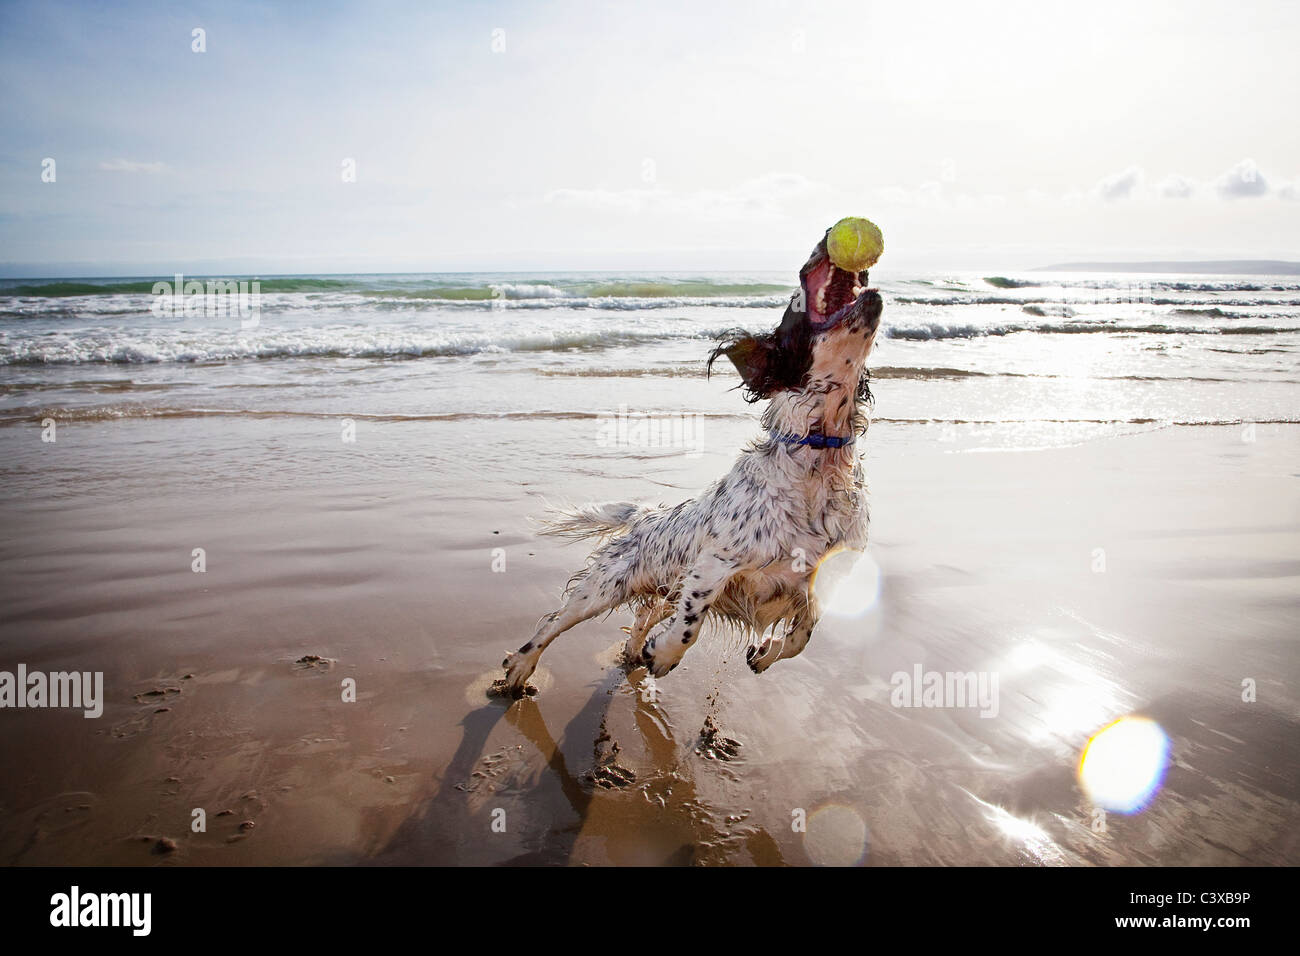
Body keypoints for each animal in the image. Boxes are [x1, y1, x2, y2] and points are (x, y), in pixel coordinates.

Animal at [496, 227, 883, 697]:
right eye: (795, 301)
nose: (828, 233)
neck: (818, 464)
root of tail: (645, 515)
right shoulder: (713, 566)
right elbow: (689, 626)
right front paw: (664, 654)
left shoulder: (821, 578)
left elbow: (801, 638)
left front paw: (762, 653)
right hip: (605, 586)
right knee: (555, 623)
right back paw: (521, 668)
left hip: (661, 588)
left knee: (644, 615)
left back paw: (633, 652)